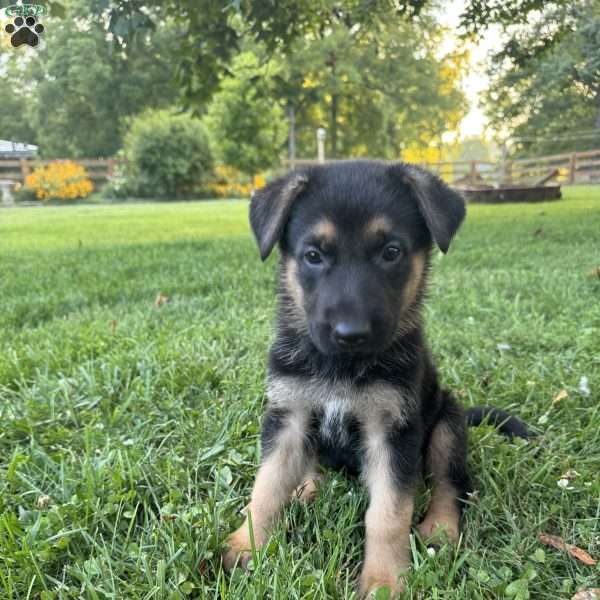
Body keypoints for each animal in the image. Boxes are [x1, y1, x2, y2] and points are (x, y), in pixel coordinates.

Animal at [223, 159, 528, 596]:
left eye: (391, 252)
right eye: (313, 255)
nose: (351, 334)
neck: (341, 367)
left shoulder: (393, 431)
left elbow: (388, 513)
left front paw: (383, 579)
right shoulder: (288, 415)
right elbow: (265, 487)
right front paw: (246, 545)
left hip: (447, 423)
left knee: (451, 484)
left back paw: (440, 529)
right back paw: (305, 486)